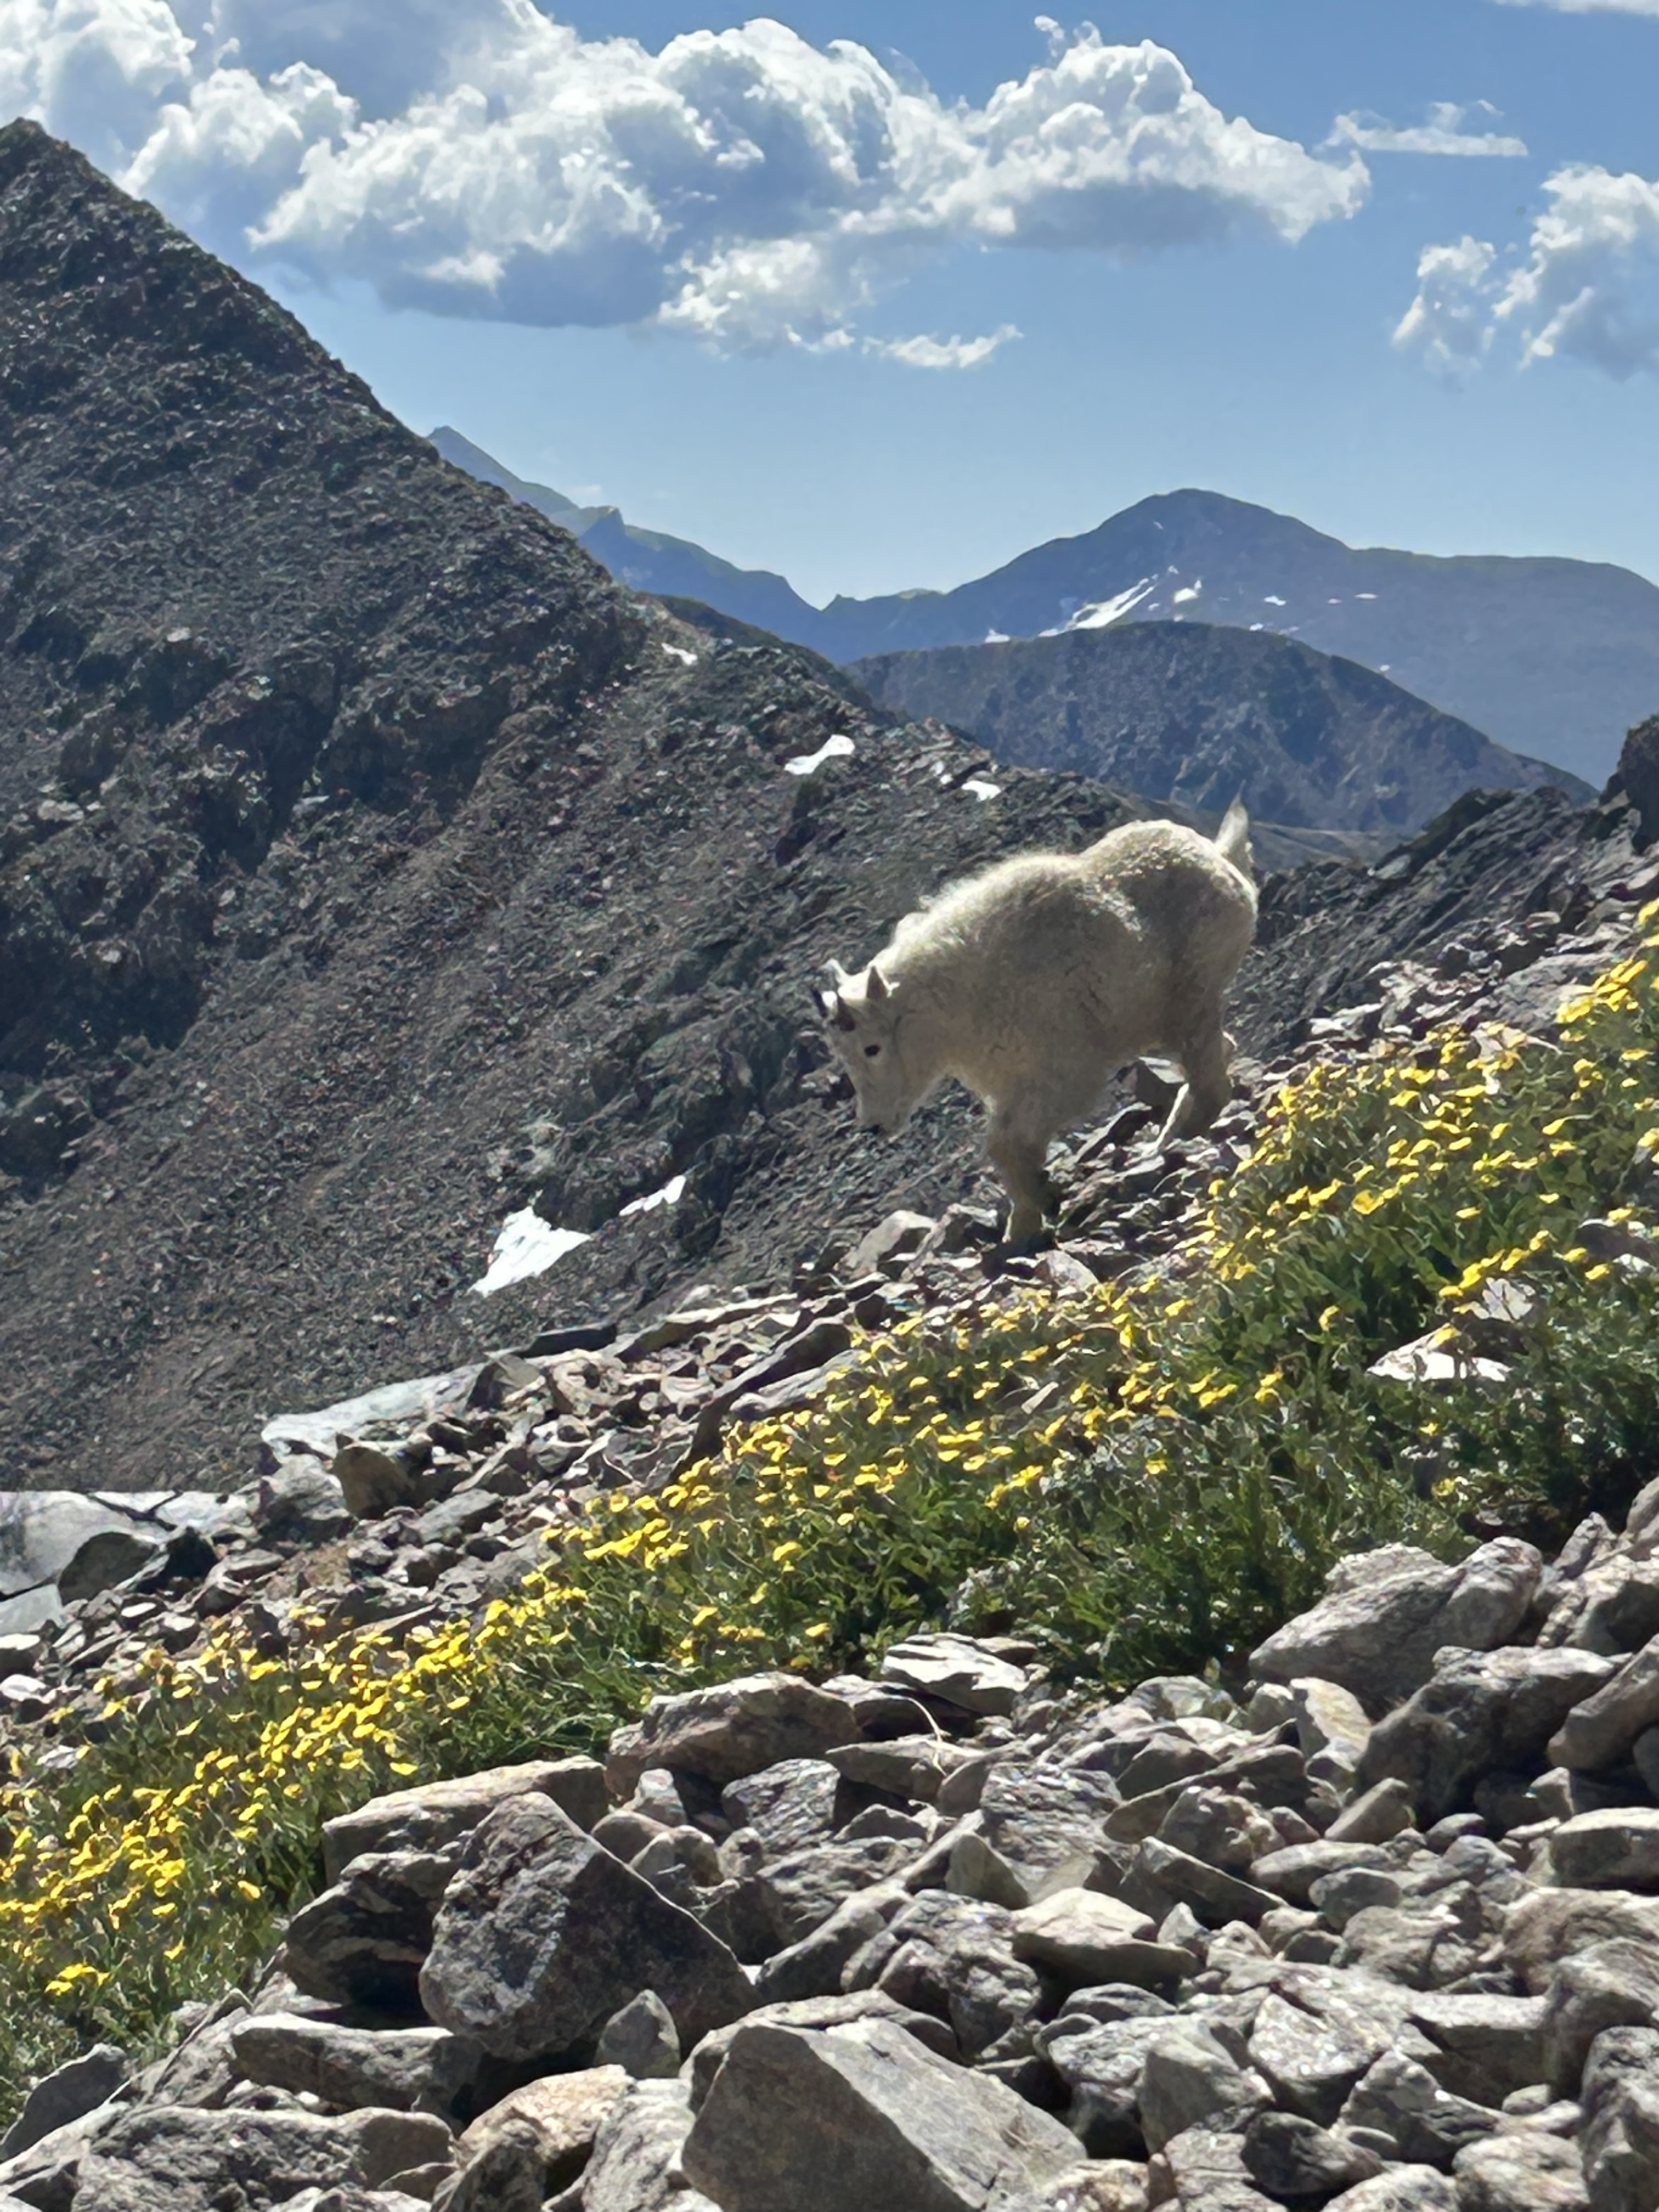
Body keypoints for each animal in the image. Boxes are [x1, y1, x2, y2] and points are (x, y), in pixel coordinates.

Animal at [821, 803, 1257, 1246]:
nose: (874, 1125)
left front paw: (1038, 1206)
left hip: (1193, 992)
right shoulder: (1006, 1081)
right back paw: (1169, 1134)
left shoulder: (1062, 1071)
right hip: (1157, 1022)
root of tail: (1221, 857)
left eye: (872, 1048)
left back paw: (1186, 1131)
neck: (962, 997)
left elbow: (1005, 1142)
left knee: (1209, 1070)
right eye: (842, 1057)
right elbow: (1004, 1146)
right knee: (1219, 1050)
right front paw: (1028, 1216)